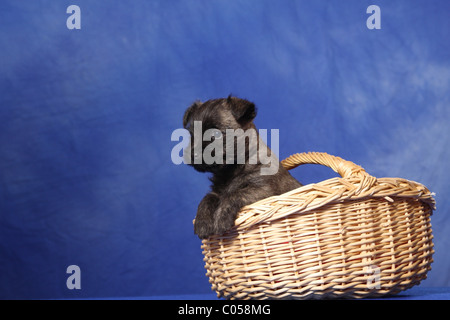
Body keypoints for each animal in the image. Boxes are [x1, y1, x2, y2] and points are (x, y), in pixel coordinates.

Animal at [183, 96, 302, 239]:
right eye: (191, 134)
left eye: (216, 134)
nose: (192, 154)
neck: (230, 170)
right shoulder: (216, 192)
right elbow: (206, 198)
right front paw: (202, 222)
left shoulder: (264, 191)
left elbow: (235, 194)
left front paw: (221, 218)